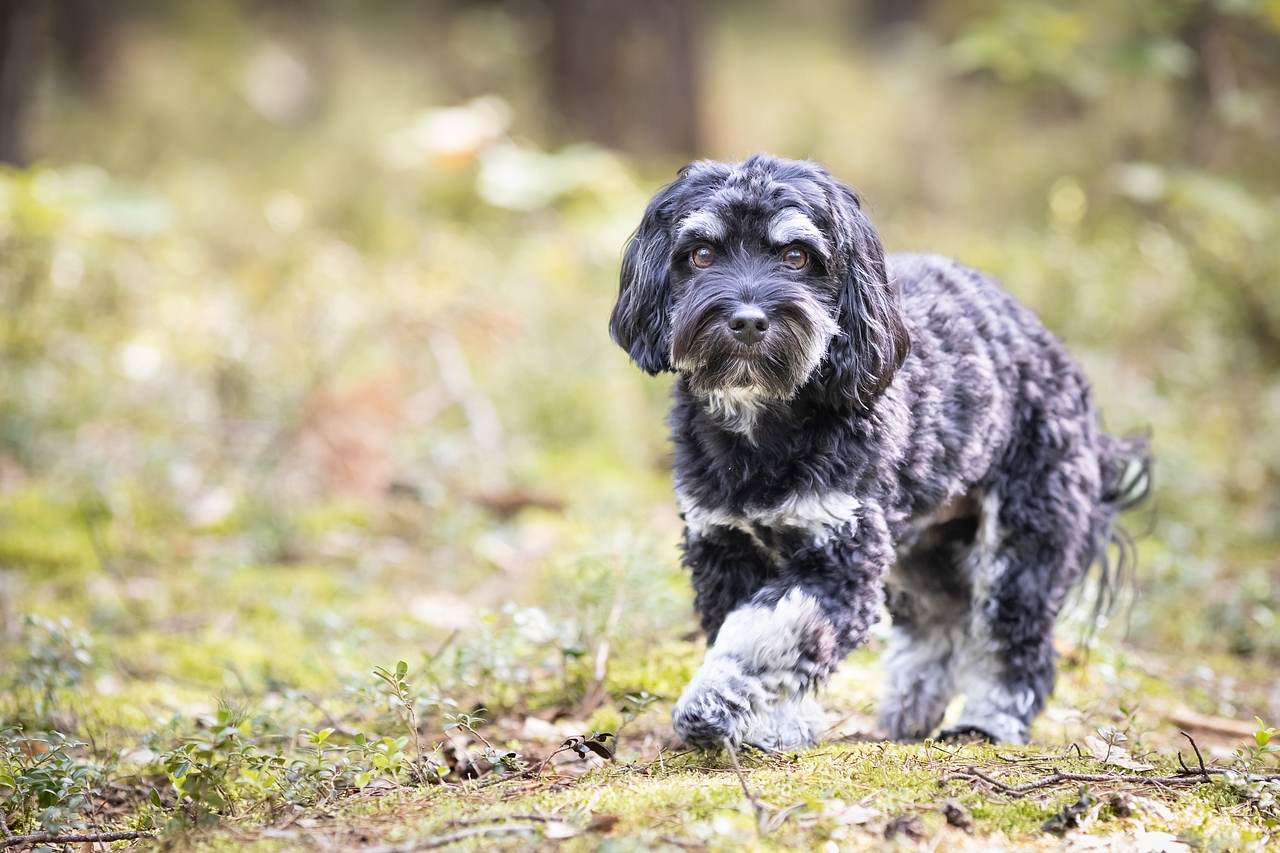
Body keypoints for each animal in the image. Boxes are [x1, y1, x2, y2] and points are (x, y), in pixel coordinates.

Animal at [609, 156, 1152, 747]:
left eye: (796, 256)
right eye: (702, 254)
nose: (749, 320)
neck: (763, 426)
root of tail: (1056, 354)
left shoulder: (840, 554)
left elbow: (767, 634)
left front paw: (710, 704)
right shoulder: (722, 546)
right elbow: (751, 635)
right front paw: (778, 726)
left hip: (1024, 534)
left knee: (1015, 639)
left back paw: (988, 723)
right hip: (925, 547)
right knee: (938, 626)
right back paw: (908, 714)